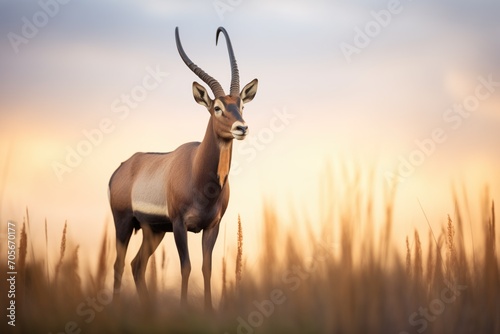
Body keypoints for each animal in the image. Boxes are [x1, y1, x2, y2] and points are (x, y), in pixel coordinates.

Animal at [109, 26, 258, 310]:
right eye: (217, 107)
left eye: (241, 105)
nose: (241, 128)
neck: (200, 177)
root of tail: (122, 168)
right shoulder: (180, 225)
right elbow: (186, 267)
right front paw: (183, 309)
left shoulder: (212, 226)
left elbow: (206, 268)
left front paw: (209, 310)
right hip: (123, 224)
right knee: (119, 264)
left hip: (153, 232)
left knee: (136, 265)